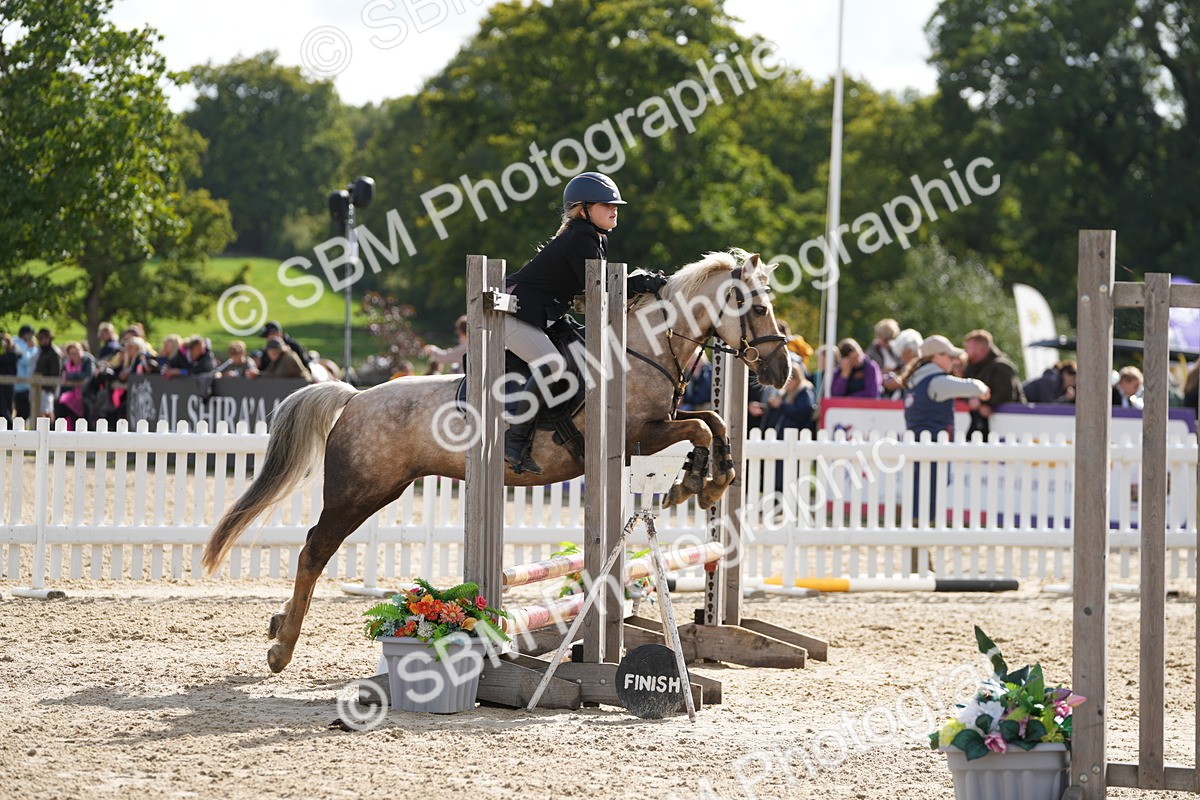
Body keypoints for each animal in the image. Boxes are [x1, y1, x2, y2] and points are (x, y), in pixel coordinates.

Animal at [201, 249, 791, 673]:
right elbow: (701, 424)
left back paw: (277, 627)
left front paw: (709, 477)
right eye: (760, 308)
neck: (639, 350)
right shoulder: (635, 437)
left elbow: (711, 421)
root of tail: (355, 396)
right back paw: (281, 648)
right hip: (360, 491)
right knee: (313, 551)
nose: (782, 372)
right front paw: (701, 482)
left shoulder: (656, 428)